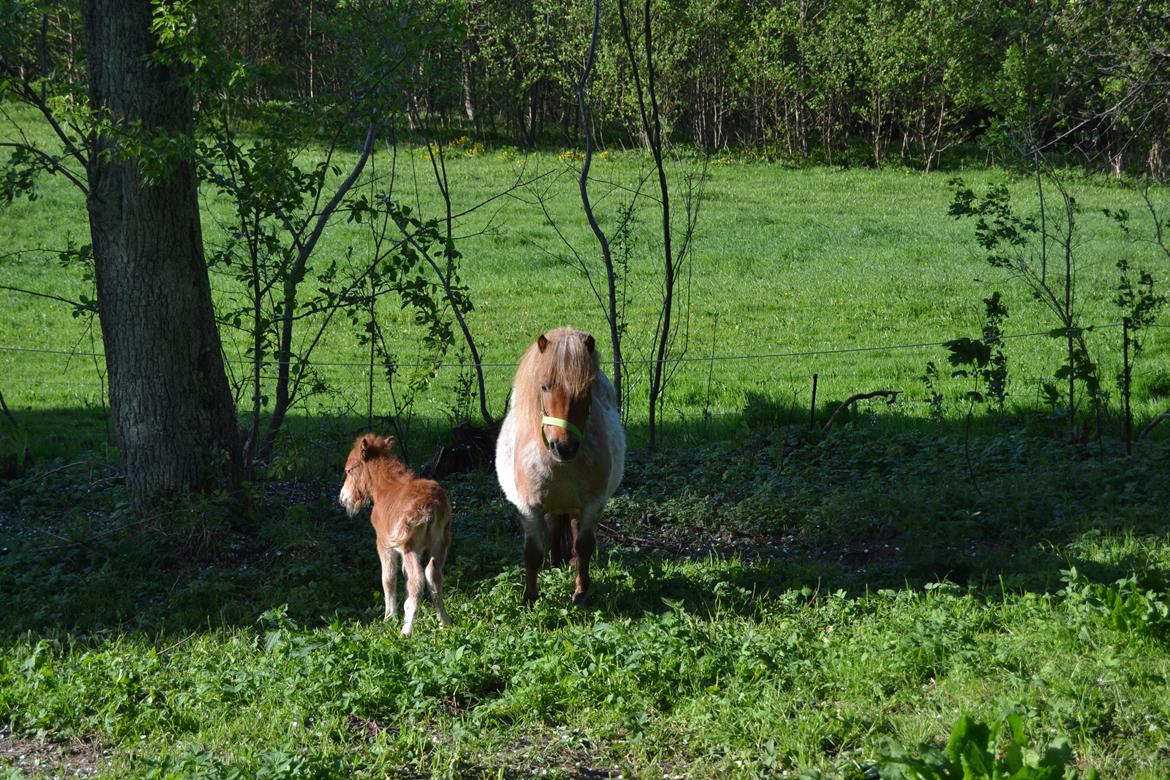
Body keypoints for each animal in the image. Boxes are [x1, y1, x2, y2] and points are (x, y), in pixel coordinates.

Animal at [339, 432, 451, 636]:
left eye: (349, 470)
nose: (343, 499)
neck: (384, 488)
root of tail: (431, 505)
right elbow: (404, 576)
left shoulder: (384, 544)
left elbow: (388, 578)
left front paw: (389, 617)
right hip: (440, 543)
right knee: (434, 576)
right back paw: (444, 623)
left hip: (409, 547)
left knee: (417, 581)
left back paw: (406, 631)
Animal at [493, 327, 627, 608]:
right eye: (544, 386)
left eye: (587, 389)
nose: (563, 447)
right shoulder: (529, 509)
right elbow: (532, 553)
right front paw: (530, 597)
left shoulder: (592, 504)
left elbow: (584, 545)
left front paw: (581, 591)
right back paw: (553, 562)